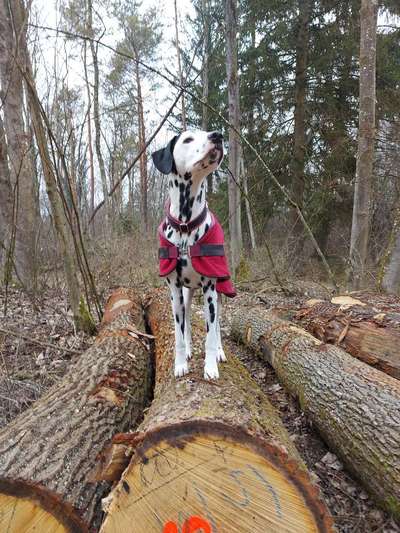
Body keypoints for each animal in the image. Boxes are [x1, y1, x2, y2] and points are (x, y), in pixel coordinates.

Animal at [152, 130, 234, 378]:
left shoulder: (210, 291)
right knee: (187, 320)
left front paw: (210, 367)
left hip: (219, 293)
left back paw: (220, 352)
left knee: (217, 328)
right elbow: (178, 334)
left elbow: (210, 335)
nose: (218, 136)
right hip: (186, 296)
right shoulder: (174, 291)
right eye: (188, 139)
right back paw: (188, 348)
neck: (186, 227)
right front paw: (180, 364)